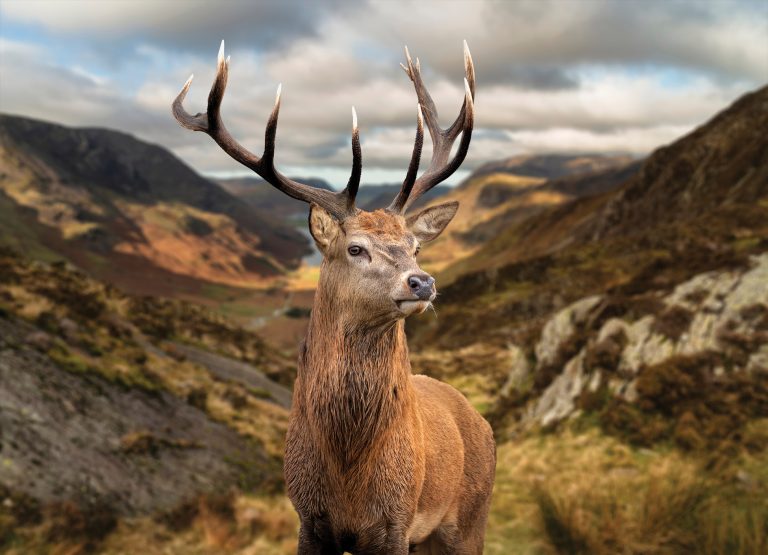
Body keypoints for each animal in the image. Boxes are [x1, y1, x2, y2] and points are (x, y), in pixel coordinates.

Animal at [173, 40, 496, 555]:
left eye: (416, 247)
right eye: (355, 248)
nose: (422, 282)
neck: (347, 472)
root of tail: (481, 422)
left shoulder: (395, 523)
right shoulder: (308, 518)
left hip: (469, 520)